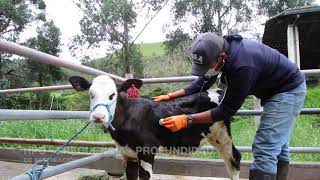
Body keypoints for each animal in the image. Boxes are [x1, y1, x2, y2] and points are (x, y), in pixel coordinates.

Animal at [69, 75, 240, 180]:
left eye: (113, 95)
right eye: (91, 94)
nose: (98, 116)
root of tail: (216, 90)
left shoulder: (147, 150)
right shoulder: (128, 154)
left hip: (221, 132)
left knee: (234, 158)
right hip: (215, 135)